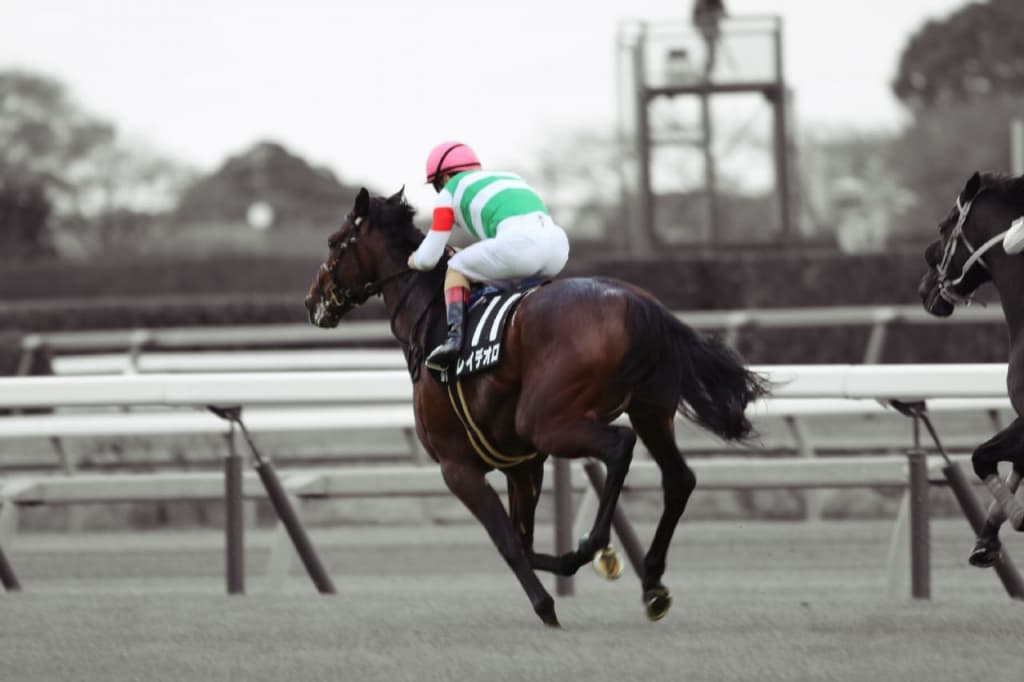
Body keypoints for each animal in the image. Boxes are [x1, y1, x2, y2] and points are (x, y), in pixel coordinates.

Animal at [305, 187, 769, 626]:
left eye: (332, 241)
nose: (312, 301)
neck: (429, 319)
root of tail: (635, 301)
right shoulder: (522, 465)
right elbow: (523, 542)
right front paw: (569, 570)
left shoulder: (457, 467)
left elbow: (508, 543)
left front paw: (548, 605)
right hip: (650, 410)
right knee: (679, 478)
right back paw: (652, 580)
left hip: (546, 421)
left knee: (619, 445)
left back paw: (595, 545)